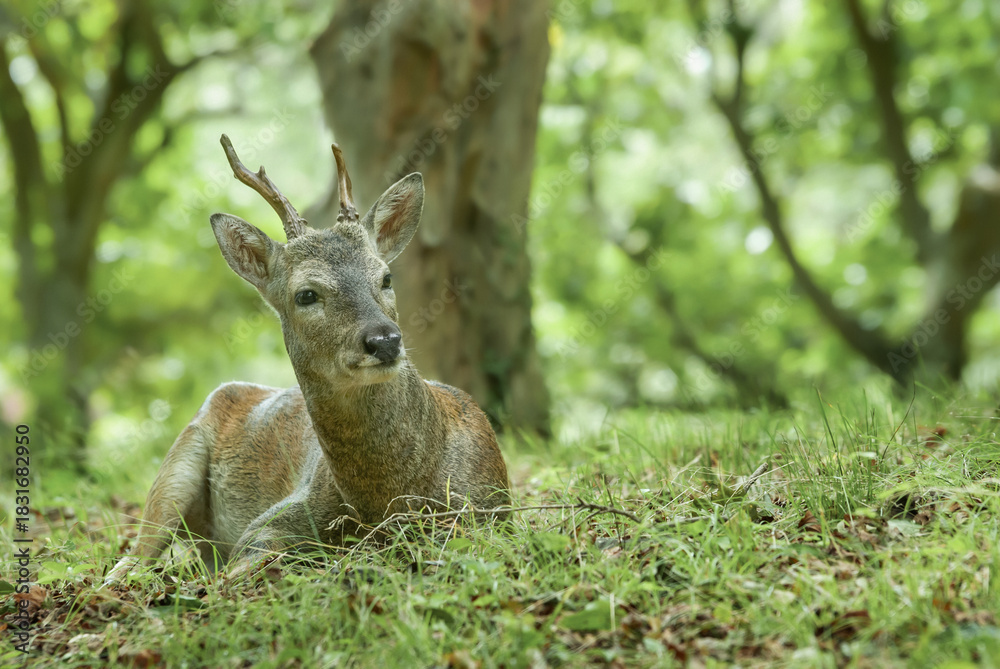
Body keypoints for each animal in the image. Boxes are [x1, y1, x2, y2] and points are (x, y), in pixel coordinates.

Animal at [104, 135, 510, 585]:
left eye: (386, 277)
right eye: (306, 294)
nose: (384, 341)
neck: (392, 498)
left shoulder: (493, 509)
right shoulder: (268, 524)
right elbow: (241, 568)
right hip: (175, 467)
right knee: (130, 561)